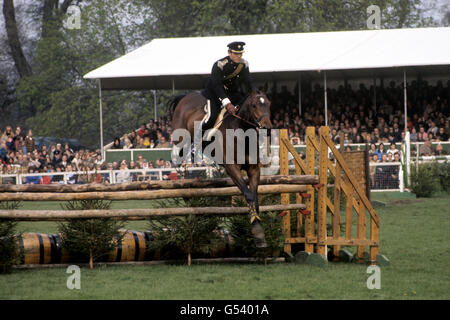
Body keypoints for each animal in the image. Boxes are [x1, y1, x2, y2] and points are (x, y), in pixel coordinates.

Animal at [171, 90, 272, 248]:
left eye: (268, 104)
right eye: (254, 105)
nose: (267, 128)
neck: (242, 134)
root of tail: (186, 96)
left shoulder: (254, 169)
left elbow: (254, 198)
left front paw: (259, 233)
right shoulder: (231, 168)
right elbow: (248, 194)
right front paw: (257, 231)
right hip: (180, 136)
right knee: (179, 153)